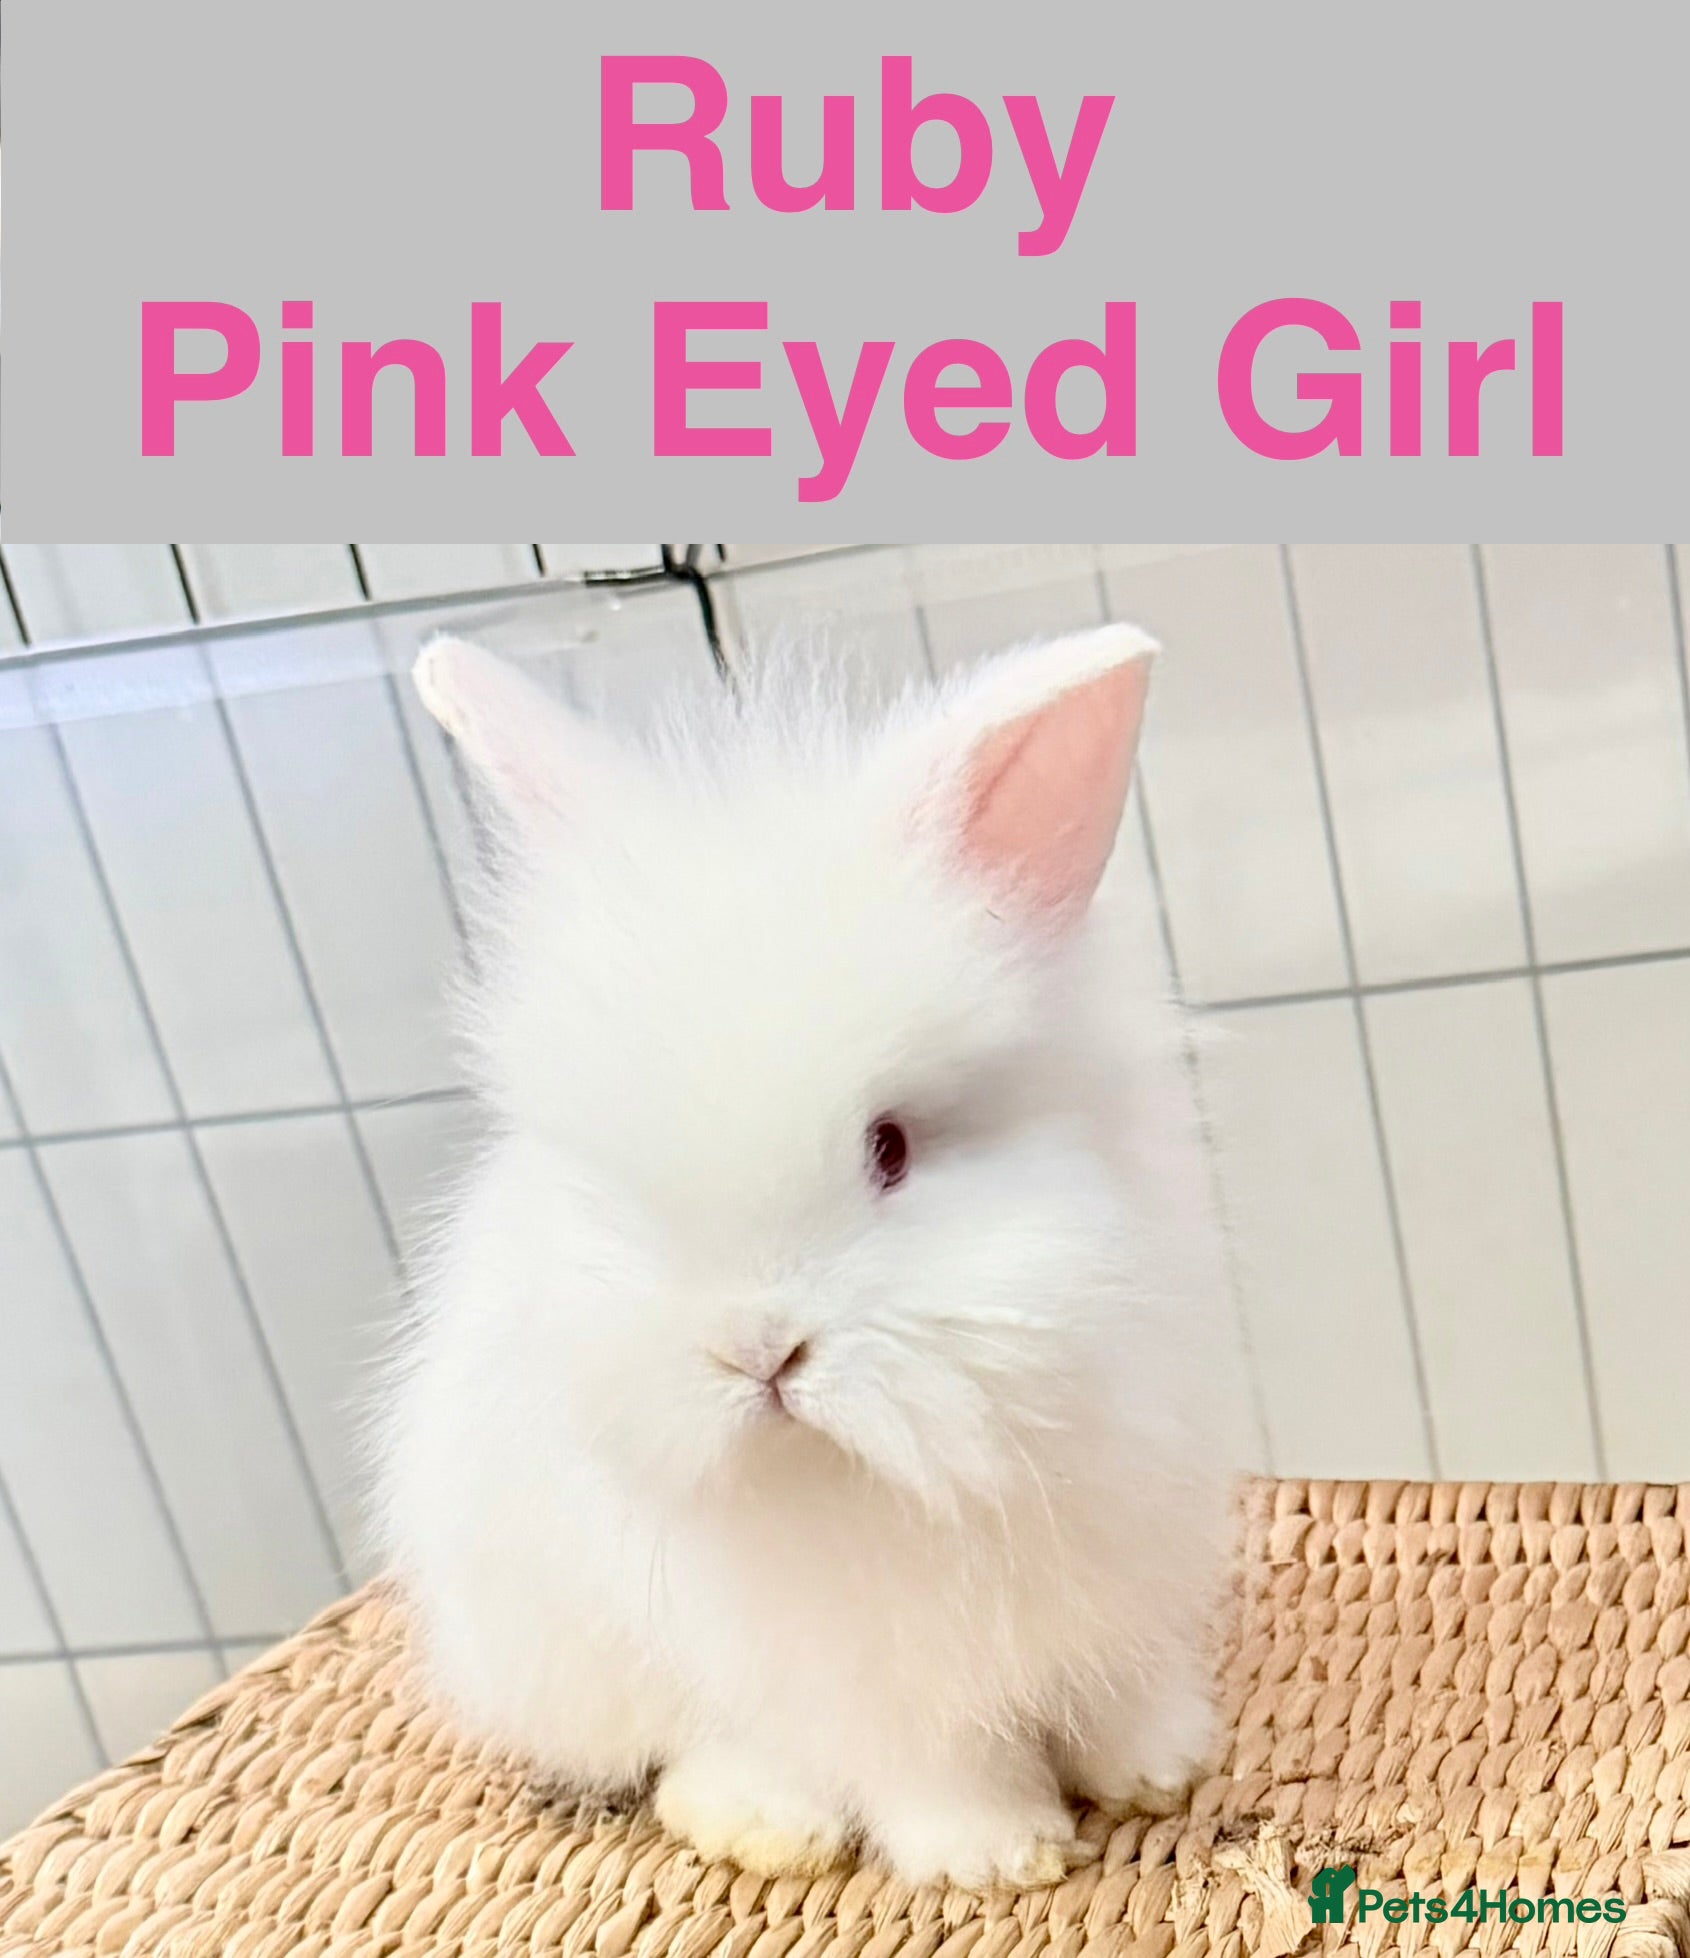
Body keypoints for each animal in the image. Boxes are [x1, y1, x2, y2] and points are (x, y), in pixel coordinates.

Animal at [375, 623, 1237, 1892]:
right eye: (621, 1183)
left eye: (890, 1146)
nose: (757, 1351)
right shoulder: (866, 1670)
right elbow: (925, 1758)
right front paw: (996, 1856)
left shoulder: (1127, 1554)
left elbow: (1120, 1684)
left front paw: (1158, 1767)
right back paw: (761, 1823)